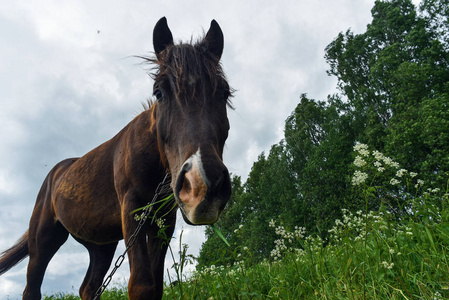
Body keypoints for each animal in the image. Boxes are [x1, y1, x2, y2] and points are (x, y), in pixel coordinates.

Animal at [0, 17, 231, 300]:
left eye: (224, 93)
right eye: (159, 92)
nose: (202, 184)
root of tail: (55, 174)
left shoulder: (164, 220)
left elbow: (155, 287)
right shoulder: (131, 210)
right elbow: (141, 285)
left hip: (101, 245)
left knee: (89, 288)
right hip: (44, 239)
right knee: (32, 288)